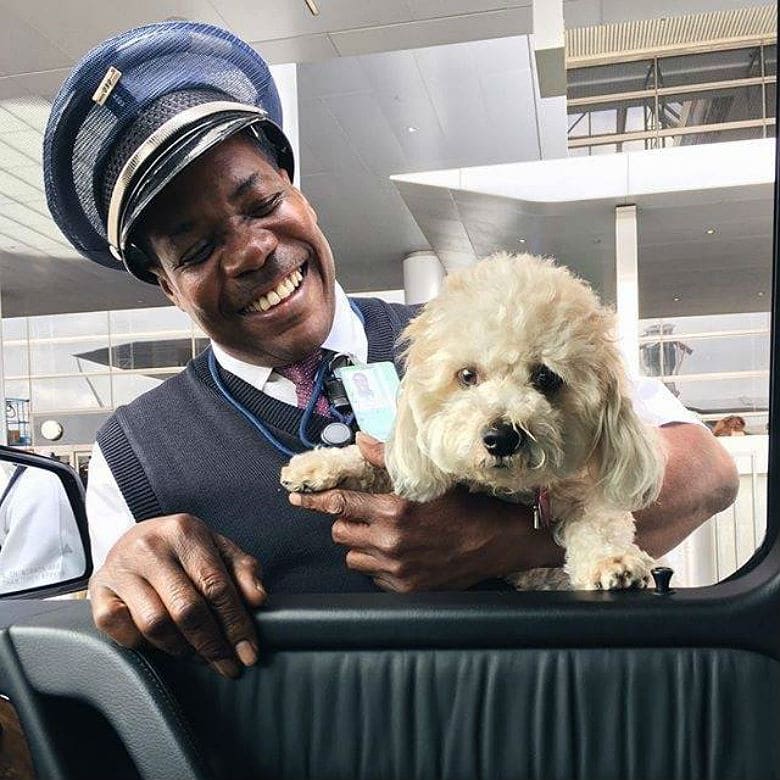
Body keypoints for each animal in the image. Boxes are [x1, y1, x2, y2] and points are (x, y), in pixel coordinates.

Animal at [280, 253, 664, 588]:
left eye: (546, 377)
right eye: (467, 375)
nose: (501, 437)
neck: (507, 489)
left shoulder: (582, 494)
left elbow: (600, 524)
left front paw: (613, 561)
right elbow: (376, 462)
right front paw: (316, 466)